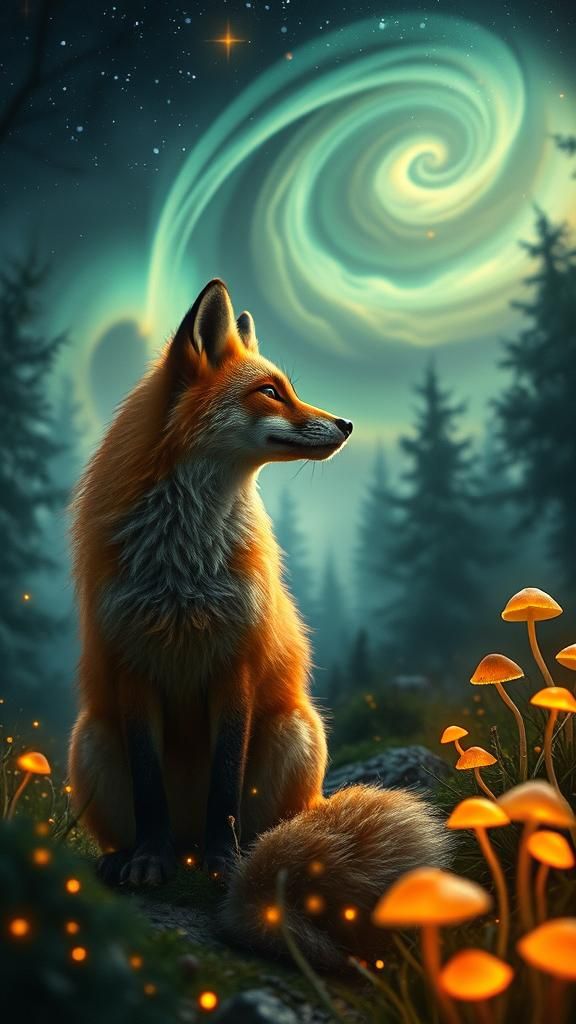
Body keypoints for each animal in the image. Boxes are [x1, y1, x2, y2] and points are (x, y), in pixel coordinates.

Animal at [69, 278, 450, 967]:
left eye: (288, 387)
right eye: (270, 392)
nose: (348, 423)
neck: (183, 571)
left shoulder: (235, 667)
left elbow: (224, 785)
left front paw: (224, 863)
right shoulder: (134, 667)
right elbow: (149, 788)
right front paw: (148, 862)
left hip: (294, 732)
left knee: (263, 827)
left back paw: (237, 855)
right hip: (91, 738)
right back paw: (129, 857)